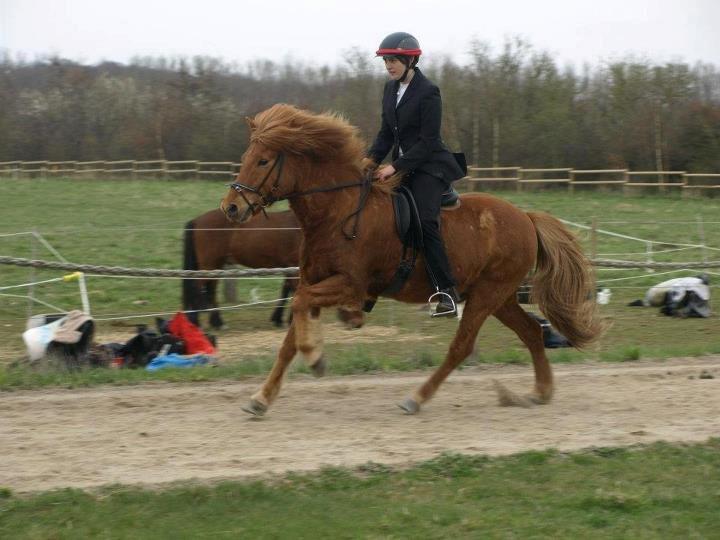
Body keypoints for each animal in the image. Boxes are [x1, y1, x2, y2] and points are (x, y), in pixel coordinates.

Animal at [221, 105, 600, 418]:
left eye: (263, 161)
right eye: (246, 156)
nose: (231, 208)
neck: (337, 212)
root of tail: (525, 217)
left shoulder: (349, 285)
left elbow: (299, 308)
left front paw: (315, 357)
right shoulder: (315, 281)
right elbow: (289, 338)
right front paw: (261, 398)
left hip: (486, 295)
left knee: (462, 347)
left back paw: (416, 398)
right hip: (500, 296)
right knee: (532, 332)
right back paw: (541, 391)